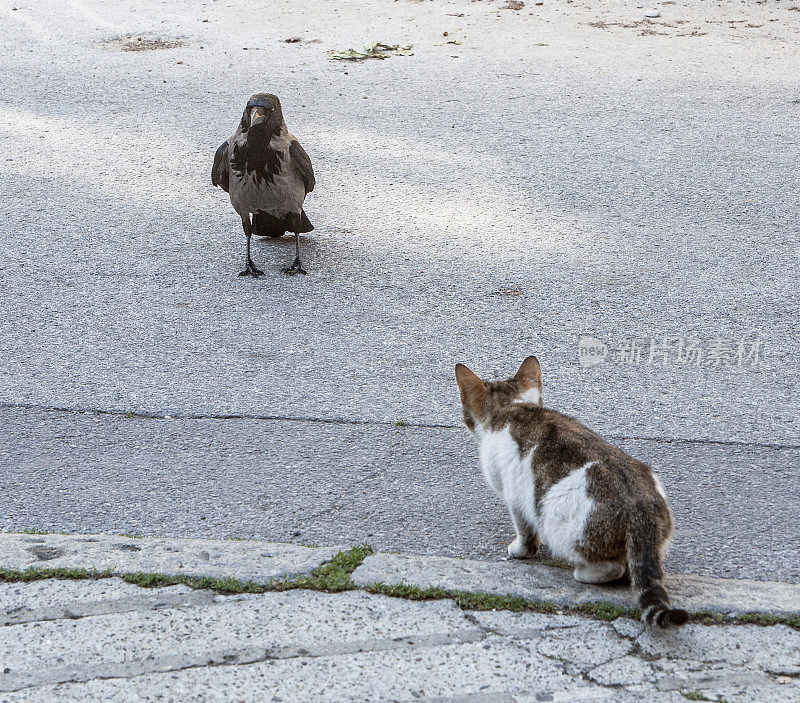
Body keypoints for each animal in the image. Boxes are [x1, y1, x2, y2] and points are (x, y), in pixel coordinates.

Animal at [454, 354, 692, 628]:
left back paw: (583, 572)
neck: (513, 408)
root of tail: (640, 508)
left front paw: (520, 550)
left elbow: (525, 530)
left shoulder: (514, 494)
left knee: (612, 567)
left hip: (559, 518)